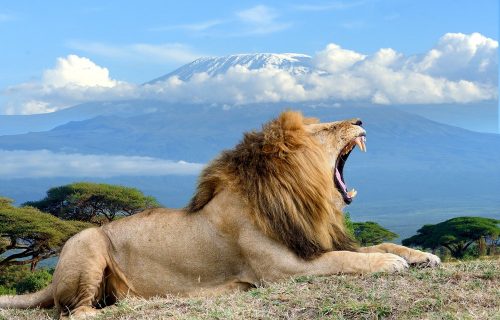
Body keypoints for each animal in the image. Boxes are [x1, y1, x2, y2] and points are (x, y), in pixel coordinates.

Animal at [0, 110, 438, 318]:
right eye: (327, 129)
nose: (361, 120)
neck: (301, 197)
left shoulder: (311, 242)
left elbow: (374, 244)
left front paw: (421, 255)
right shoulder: (283, 270)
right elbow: (347, 259)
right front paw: (391, 264)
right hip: (87, 242)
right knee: (75, 313)